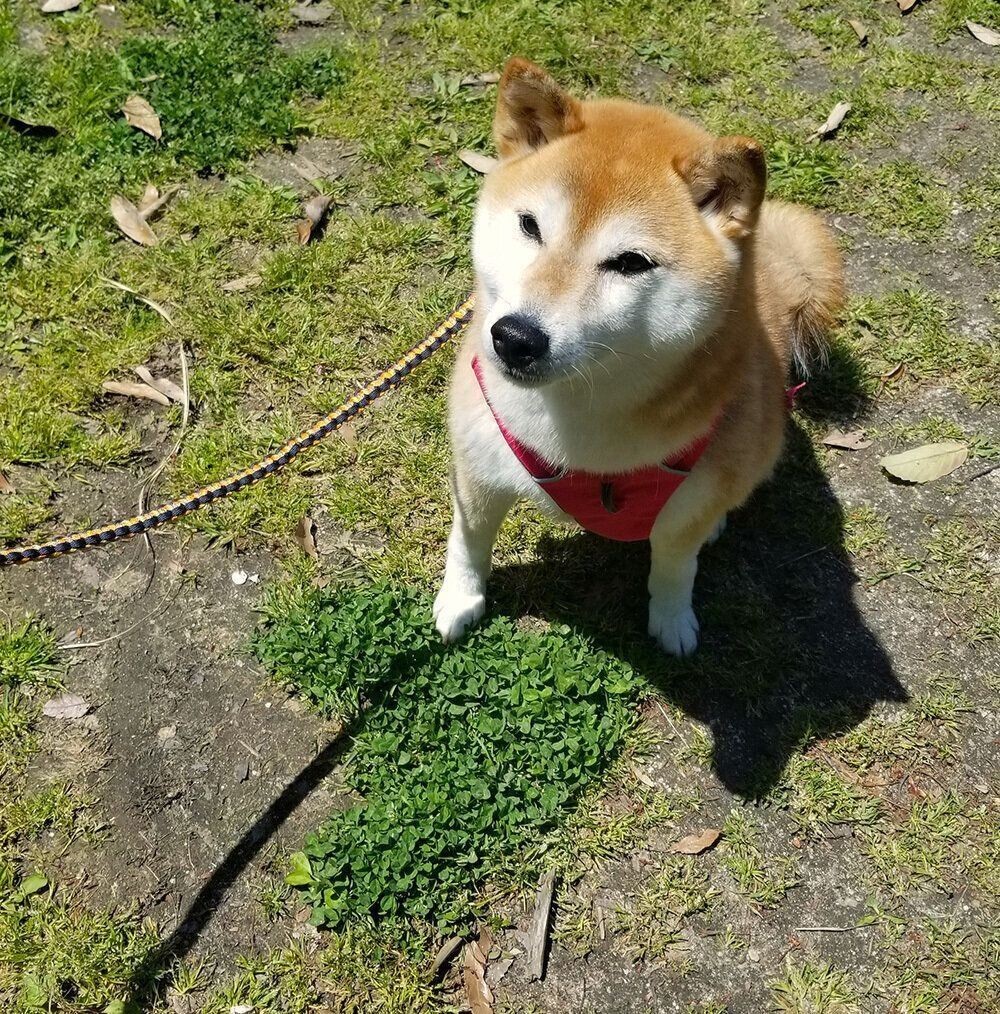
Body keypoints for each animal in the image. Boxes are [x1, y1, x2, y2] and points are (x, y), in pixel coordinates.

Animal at [434, 57, 843, 657]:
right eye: (530, 226)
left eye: (629, 263)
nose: (515, 337)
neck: (581, 433)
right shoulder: (478, 469)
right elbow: (469, 541)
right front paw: (460, 599)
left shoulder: (687, 511)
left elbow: (675, 566)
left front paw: (672, 620)